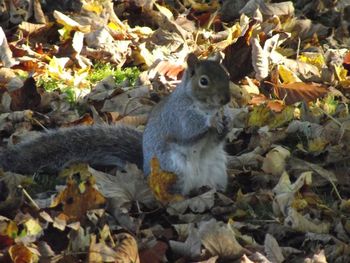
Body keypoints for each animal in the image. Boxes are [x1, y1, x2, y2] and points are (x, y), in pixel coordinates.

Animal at [0, 53, 231, 195]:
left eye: (226, 74)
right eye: (204, 81)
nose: (226, 100)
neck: (200, 104)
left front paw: (226, 121)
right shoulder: (178, 116)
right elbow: (189, 130)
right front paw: (212, 121)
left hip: (218, 170)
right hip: (173, 170)